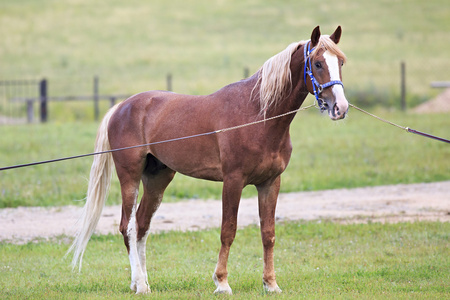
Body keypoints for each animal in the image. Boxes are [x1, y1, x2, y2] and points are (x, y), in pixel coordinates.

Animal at [67, 26, 348, 296]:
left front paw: (271, 284)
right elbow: (228, 230)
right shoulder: (233, 181)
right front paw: (222, 282)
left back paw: (142, 283)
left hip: (157, 179)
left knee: (142, 225)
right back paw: (140, 284)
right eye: (318, 63)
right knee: (128, 227)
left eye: (341, 62)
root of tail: (122, 106)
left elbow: (268, 234)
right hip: (130, 177)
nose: (341, 108)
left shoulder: (270, 182)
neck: (258, 115)